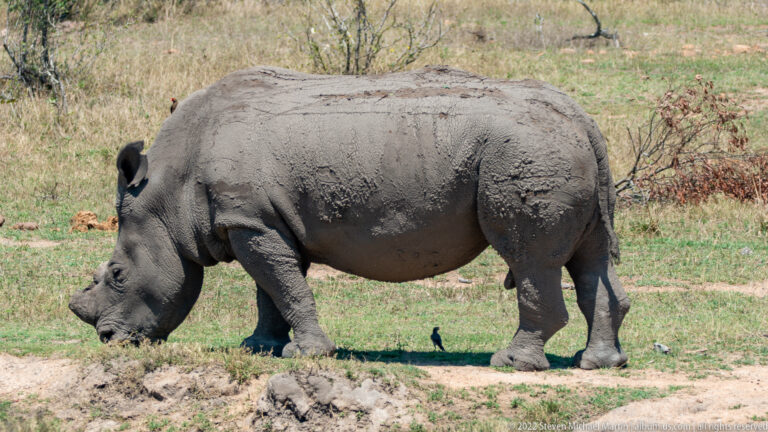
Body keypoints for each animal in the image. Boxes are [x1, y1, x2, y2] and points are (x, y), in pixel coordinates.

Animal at [69, 66, 630, 371]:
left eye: (116, 276)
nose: (109, 342)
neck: (166, 191)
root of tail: (582, 118)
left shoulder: (248, 221)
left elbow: (283, 286)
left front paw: (307, 356)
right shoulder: (261, 221)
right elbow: (273, 288)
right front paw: (259, 349)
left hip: (526, 153)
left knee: (530, 259)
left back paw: (510, 363)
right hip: (558, 151)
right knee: (590, 260)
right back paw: (599, 363)